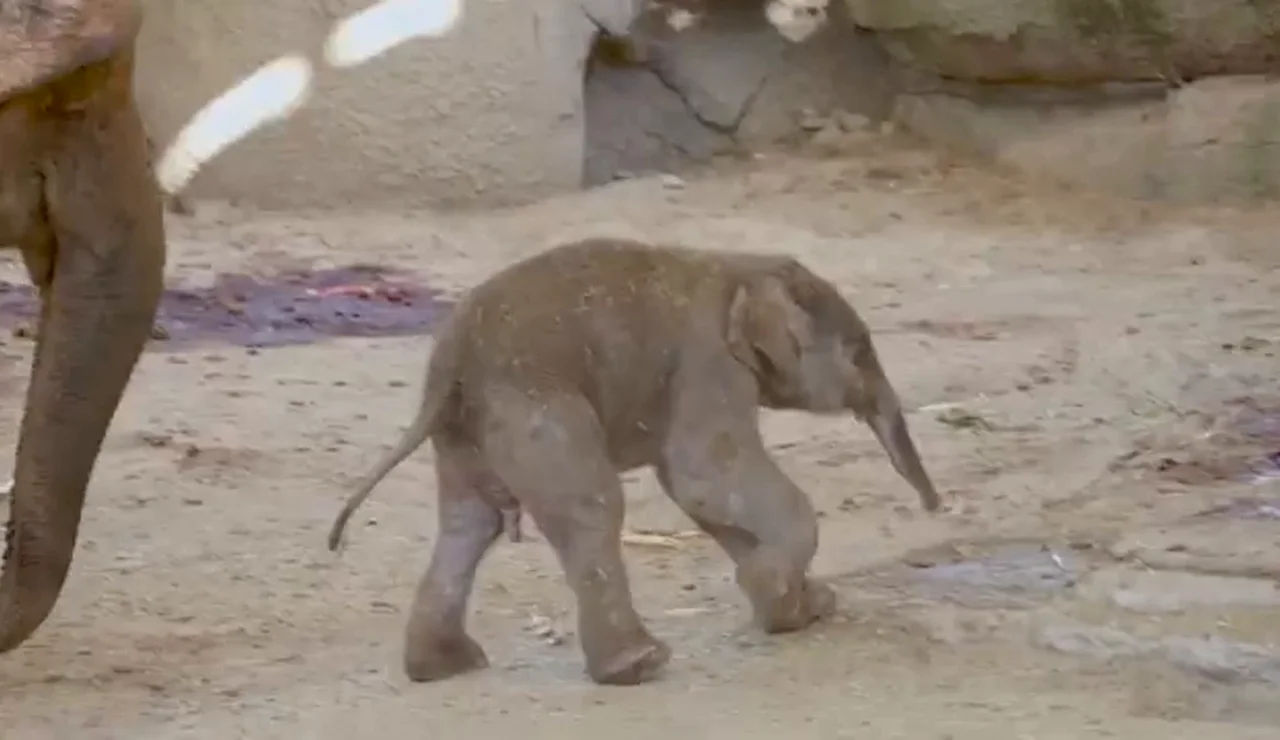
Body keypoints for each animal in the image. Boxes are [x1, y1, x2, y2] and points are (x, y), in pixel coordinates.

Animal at [327, 238, 942, 686]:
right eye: (859, 352)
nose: (933, 508)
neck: (742, 266)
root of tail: (448, 366)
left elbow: (706, 496)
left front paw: (794, 606)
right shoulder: (706, 362)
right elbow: (702, 477)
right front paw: (779, 595)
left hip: (468, 432)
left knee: (469, 525)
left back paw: (445, 667)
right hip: (536, 407)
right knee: (590, 509)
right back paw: (639, 666)